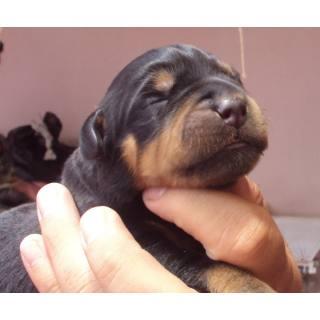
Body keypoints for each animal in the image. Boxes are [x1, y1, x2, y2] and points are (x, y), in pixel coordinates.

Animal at [0, 45, 272, 292]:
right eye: (155, 97)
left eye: (235, 79)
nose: (234, 107)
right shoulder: (140, 239)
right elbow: (210, 266)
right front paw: (253, 287)